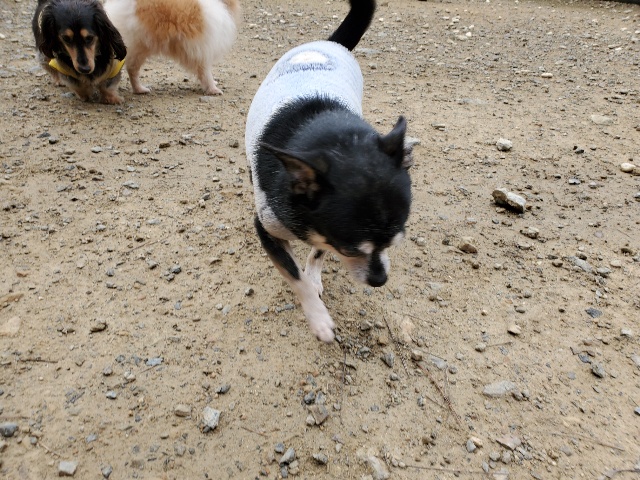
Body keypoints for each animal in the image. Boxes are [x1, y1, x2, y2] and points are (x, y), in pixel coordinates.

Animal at [104, 0, 240, 95]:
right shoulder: (201, 49)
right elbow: (205, 73)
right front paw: (213, 89)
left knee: (132, 69)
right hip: (137, 46)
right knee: (132, 70)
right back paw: (139, 89)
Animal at [245, 0, 413, 343]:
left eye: (394, 243)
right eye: (350, 249)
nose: (380, 280)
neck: (334, 138)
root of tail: (328, 44)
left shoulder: (324, 234)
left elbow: (317, 253)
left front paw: (314, 275)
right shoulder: (266, 228)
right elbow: (295, 277)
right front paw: (318, 317)